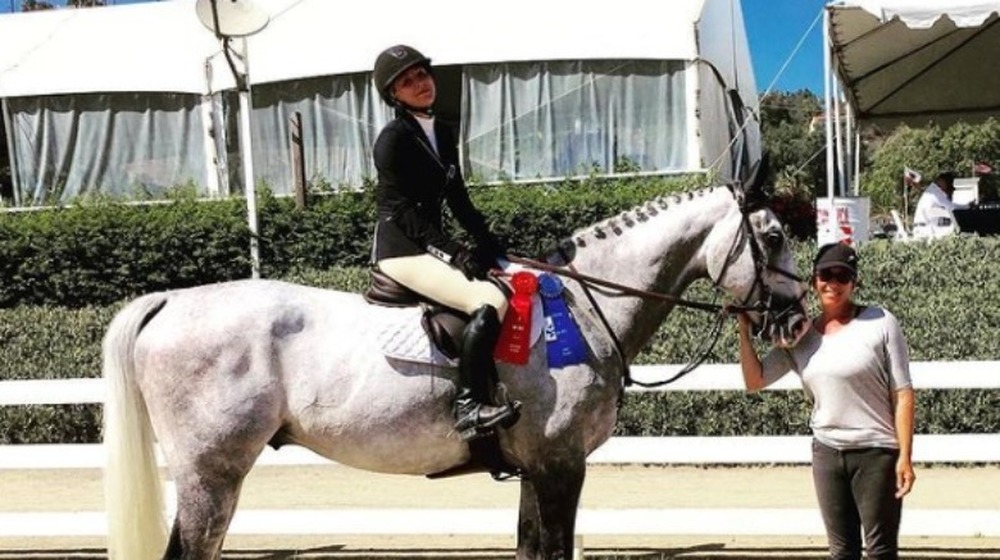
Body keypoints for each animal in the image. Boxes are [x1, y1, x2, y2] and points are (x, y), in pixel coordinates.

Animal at [101, 182, 808, 556]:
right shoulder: (560, 466)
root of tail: (171, 301)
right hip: (212, 475)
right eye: (772, 237)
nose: (798, 320)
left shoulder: (536, 469)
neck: (585, 307)